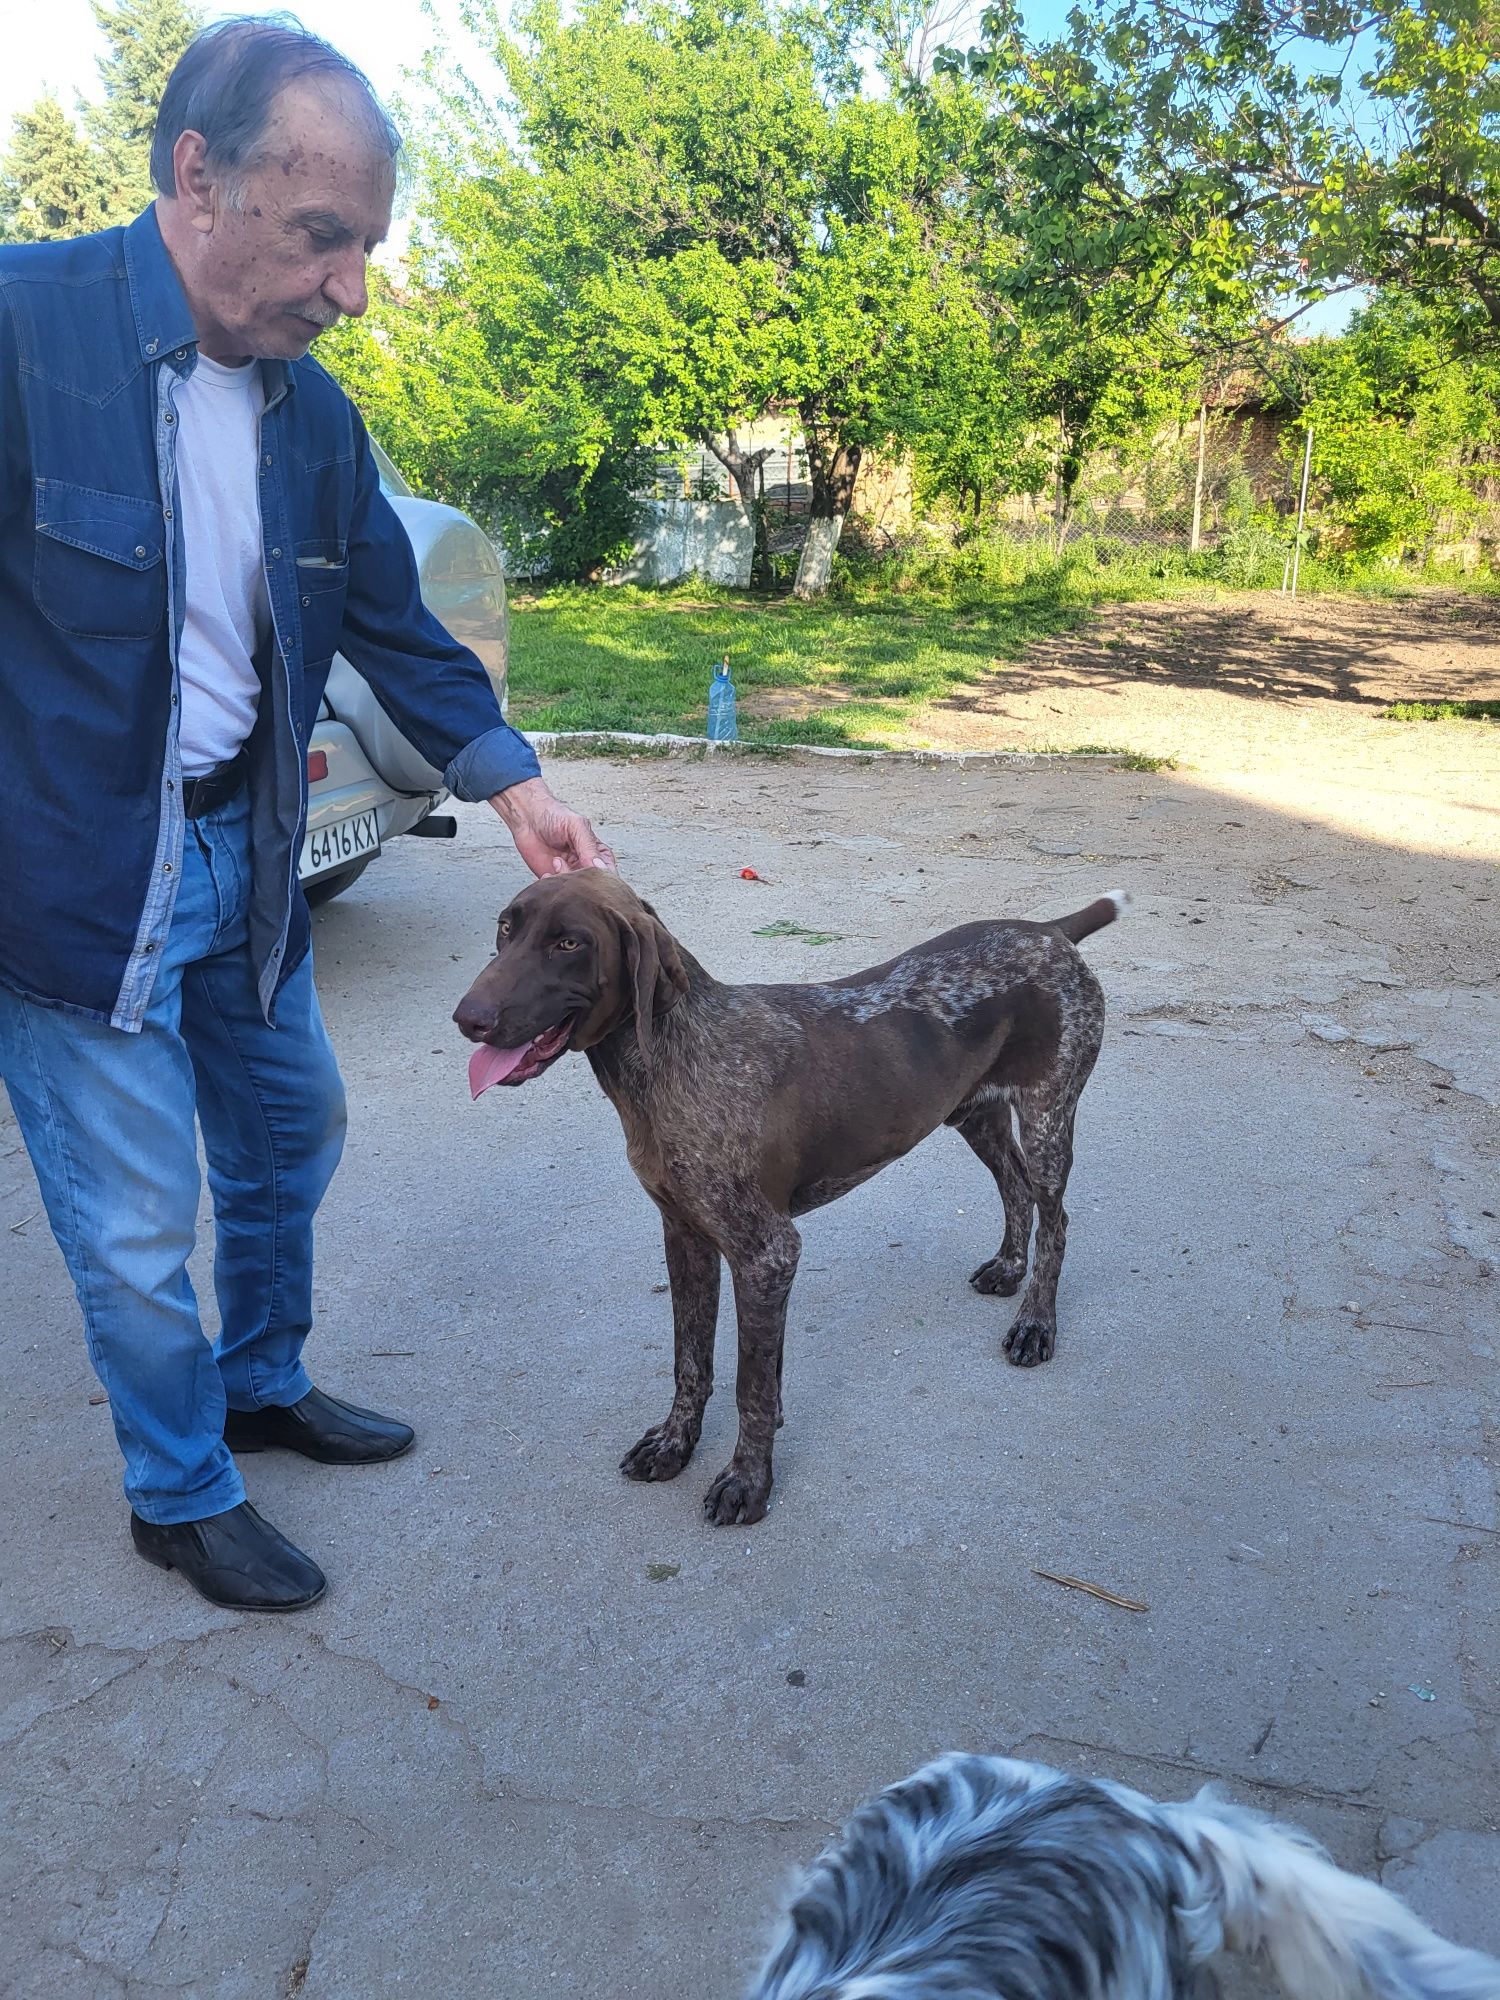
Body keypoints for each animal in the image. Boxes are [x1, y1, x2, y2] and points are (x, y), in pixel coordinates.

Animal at [458, 872, 1128, 1512]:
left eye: (569, 944)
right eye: (505, 928)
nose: (468, 1018)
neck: (671, 1059)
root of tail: (1048, 931)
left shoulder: (767, 1254)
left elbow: (749, 1385)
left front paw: (747, 1481)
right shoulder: (686, 1237)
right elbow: (691, 1361)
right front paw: (676, 1444)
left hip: (1046, 1116)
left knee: (1055, 1217)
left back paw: (1036, 1323)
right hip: (975, 1114)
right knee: (1014, 1187)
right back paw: (1009, 1268)